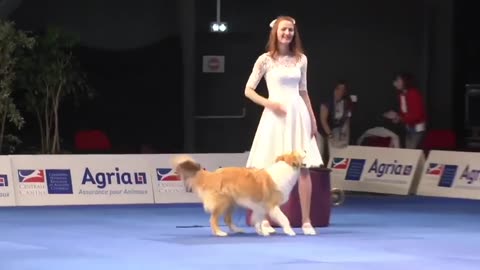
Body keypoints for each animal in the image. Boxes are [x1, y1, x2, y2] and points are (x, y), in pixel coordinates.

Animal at [171, 153, 302, 237]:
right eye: (301, 154)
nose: (305, 150)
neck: (286, 168)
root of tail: (212, 175)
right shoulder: (272, 206)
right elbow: (284, 219)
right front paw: (290, 231)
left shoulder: (260, 207)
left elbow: (258, 221)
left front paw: (262, 232)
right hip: (223, 202)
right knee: (213, 219)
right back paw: (219, 233)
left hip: (231, 203)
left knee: (227, 219)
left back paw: (237, 229)